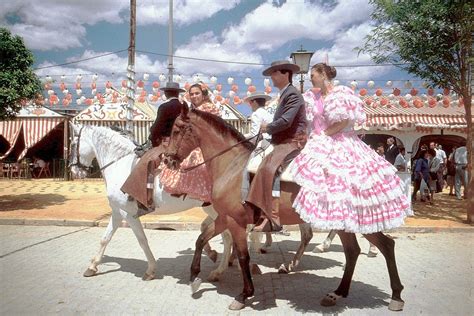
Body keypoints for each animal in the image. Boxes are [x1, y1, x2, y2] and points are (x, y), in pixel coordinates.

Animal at [69, 123, 232, 282]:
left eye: (72, 144)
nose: (74, 171)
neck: (120, 165)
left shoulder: (128, 215)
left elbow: (142, 240)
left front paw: (151, 270)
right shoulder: (117, 212)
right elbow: (105, 239)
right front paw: (92, 267)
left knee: (227, 236)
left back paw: (219, 270)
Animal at [165, 107, 406, 312]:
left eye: (176, 130)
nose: (167, 160)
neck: (232, 166)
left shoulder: (236, 221)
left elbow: (243, 256)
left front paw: (244, 294)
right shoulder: (225, 217)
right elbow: (201, 239)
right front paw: (195, 278)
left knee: (385, 246)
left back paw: (395, 297)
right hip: (345, 223)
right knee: (354, 251)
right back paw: (337, 293)